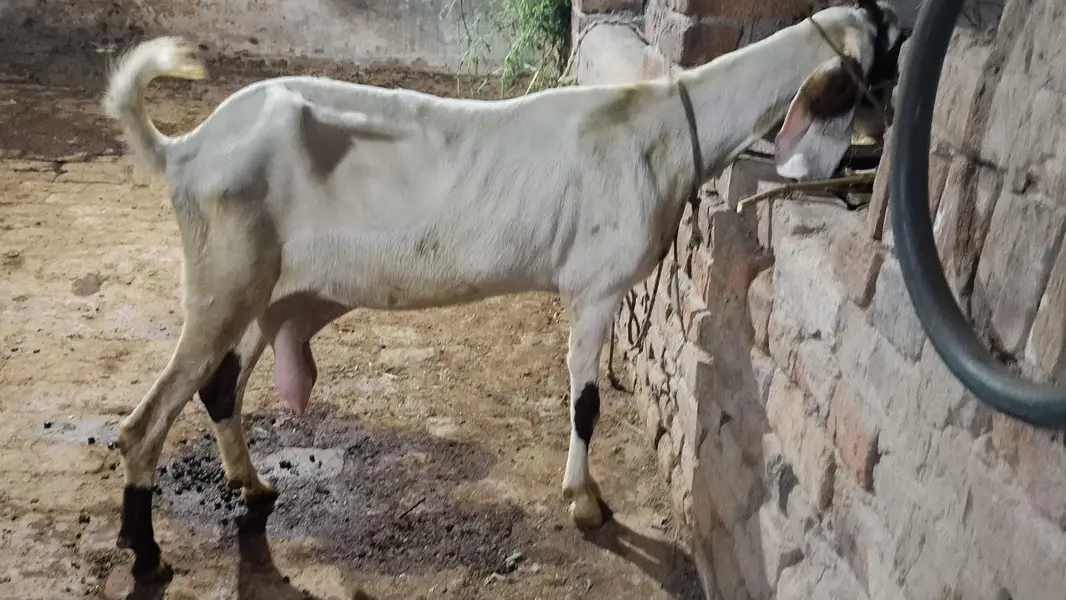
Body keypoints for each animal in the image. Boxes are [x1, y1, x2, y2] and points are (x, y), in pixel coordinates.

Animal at [102, 1, 903, 582]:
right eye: (891, 56)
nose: (887, 132)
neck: (663, 130)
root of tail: (184, 148)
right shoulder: (595, 284)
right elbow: (586, 403)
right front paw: (586, 503)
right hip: (222, 280)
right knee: (145, 420)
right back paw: (146, 553)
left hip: (268, 290)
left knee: (220, 387)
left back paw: (254, 486)